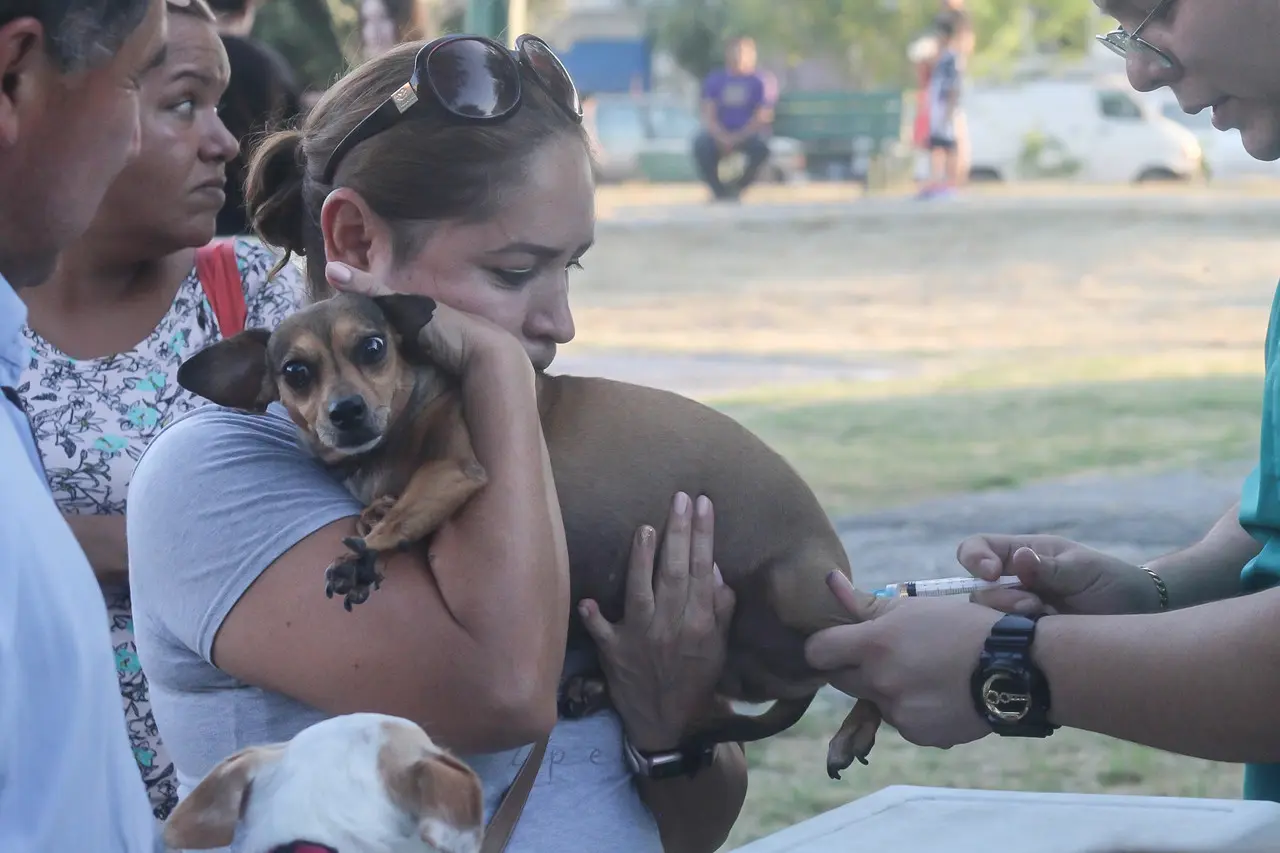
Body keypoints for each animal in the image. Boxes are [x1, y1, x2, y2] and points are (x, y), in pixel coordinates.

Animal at [177, 292, 880, 778]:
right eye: (295, 372)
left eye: (373, 347)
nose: (345, 412)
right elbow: (385, 508)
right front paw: (372, 519)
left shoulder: (455, 471)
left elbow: (405, 512)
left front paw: (370, 551)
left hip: (800, 594)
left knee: (869, 642)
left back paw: (857, 726)